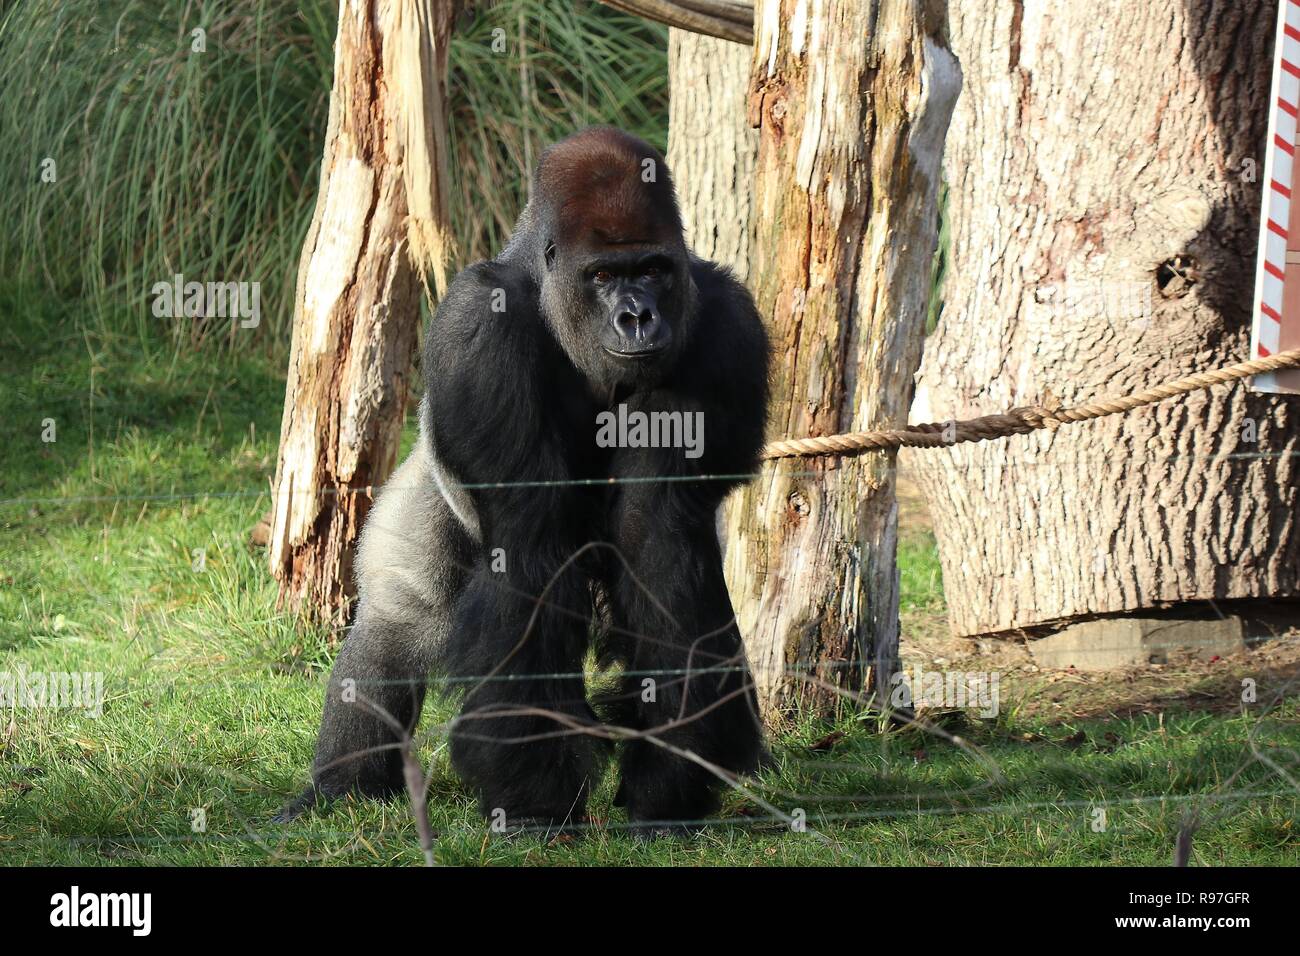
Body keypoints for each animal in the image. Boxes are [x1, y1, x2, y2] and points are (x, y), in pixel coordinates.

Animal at [282, 128, 769, 837]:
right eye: (603, 276)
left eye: (653, 270)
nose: (638, 318)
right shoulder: (478, 324)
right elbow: (528, 536)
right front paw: (535, 790)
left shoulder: (729, 325)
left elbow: (657, 537)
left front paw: (671, 779)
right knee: (398, 623)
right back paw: (344, 786)